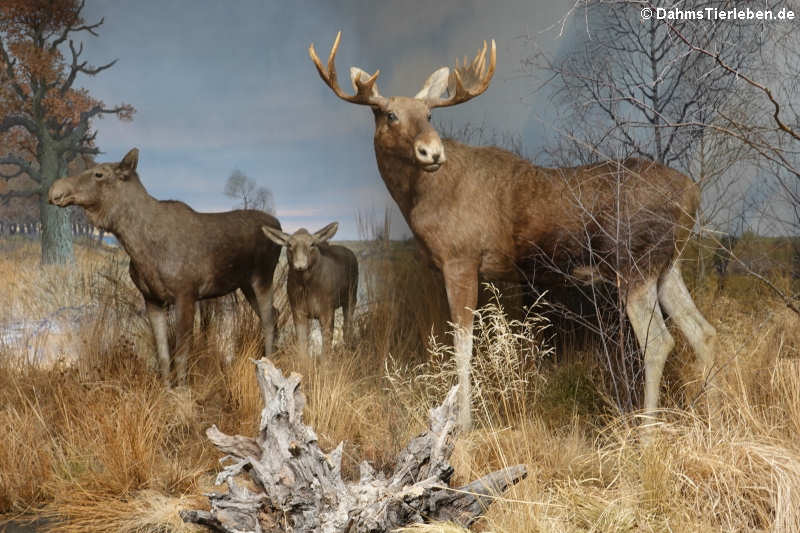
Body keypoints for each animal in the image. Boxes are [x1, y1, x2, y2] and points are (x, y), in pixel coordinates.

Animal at [47, 148, 282, 384]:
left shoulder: (186, 294)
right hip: (246, 284)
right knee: (275, 312)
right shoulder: (152, 299)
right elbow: (162, 354)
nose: (55, 189)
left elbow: (181, 353)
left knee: (269, 320)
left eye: (99, 174)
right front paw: (167, 387)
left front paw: (182, 389)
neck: (139, 246)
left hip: (263, 277)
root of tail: (279, 226)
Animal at [310, 32, 716, 428]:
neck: (419, 199)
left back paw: (646, 432)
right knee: (703, 332)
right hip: (667, 265)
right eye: (390, 115)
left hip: (633, 262)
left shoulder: (461, 259)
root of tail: (693, 193)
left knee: (660, 341)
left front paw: (464, 425)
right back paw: (709, 412)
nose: (432, 151)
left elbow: (463, 348)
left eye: (428, 114)